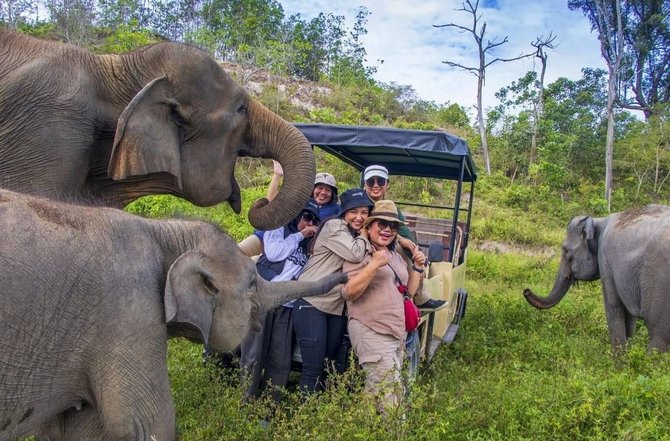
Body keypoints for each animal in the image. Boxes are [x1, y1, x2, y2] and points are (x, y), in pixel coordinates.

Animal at [524, 205, 670, 352]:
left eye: (566, 251)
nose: (526, 290)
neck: (599, 220)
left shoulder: (605, 260)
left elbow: (613, 305)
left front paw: (618, 359)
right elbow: (628, 316)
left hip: (659, 281)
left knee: (659, 336)